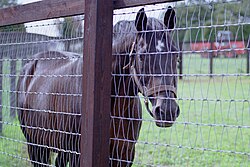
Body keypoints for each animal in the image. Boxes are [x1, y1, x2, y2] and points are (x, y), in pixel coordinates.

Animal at [16, 7, 179, 166]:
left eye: (176, 54)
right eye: (142, 56)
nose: (167, 110)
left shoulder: (124, 155)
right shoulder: (77, 156)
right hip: (36, 146)